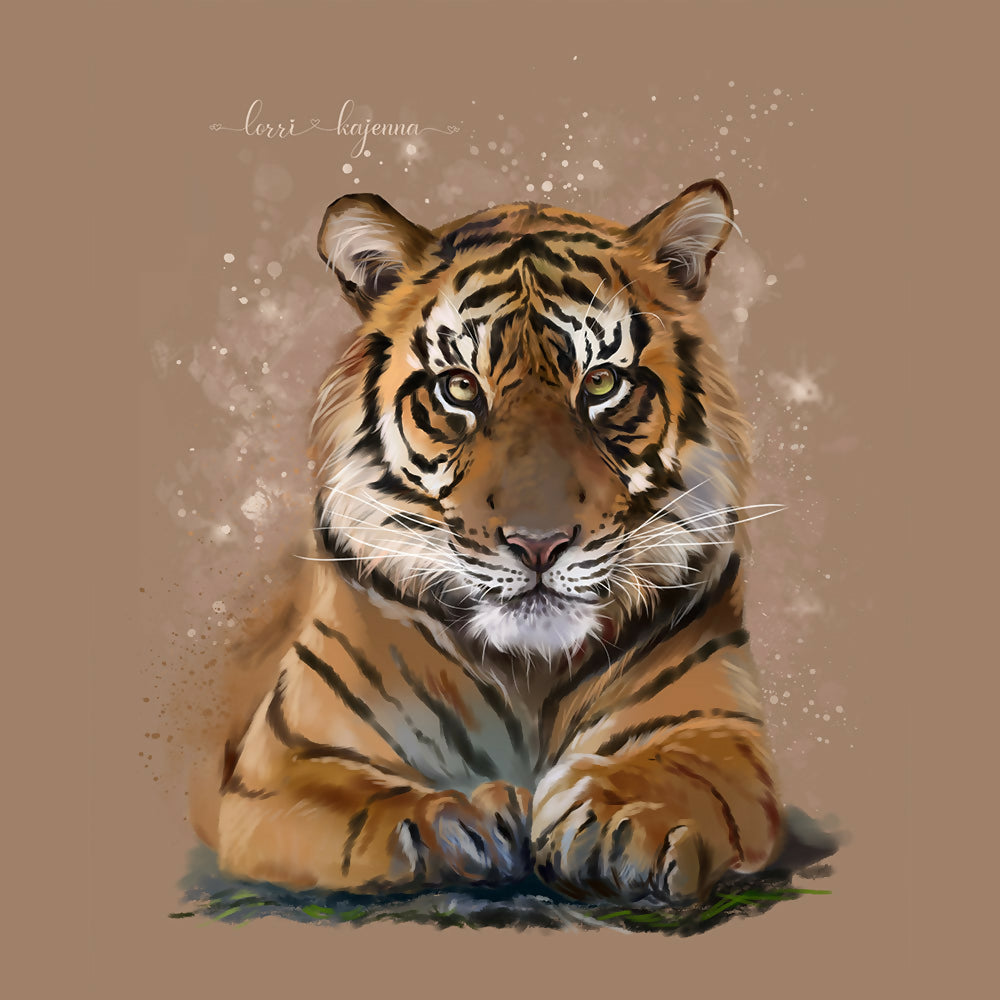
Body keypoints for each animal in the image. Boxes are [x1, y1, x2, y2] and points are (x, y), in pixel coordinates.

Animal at [193, 179, 784, 904]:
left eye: (601, 382)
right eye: (460, 388)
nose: (538, 544)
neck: (530, 670)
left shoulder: (719, 730)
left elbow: (688, 773)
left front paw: (621, 815)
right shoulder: (284, 766)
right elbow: (363, 807)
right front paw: (459, 820)